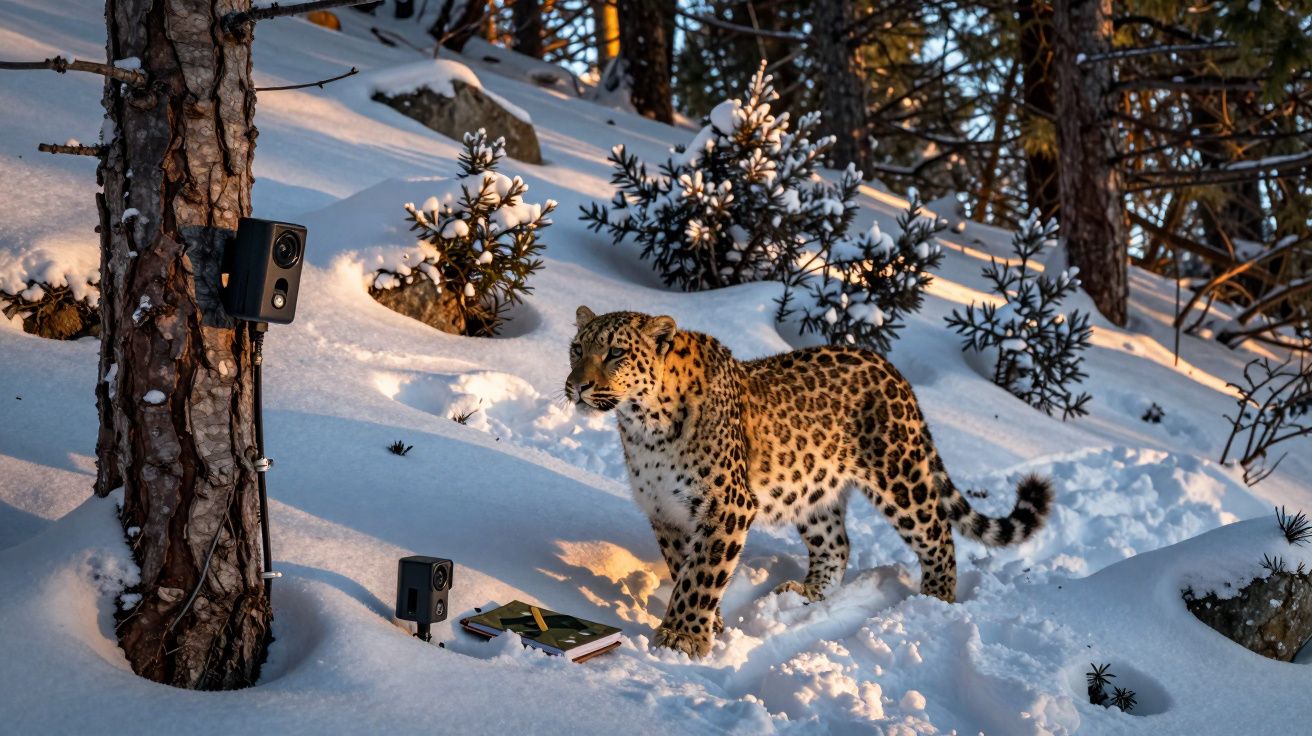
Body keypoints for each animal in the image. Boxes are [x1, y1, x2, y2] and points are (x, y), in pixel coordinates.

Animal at [565, 306, 1054, 658]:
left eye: (616, 353)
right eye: (575, 349)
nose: (576, 386)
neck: (643, 426)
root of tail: (888, 366)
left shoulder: (727, 506)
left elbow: (701, 574)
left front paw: (681, 639)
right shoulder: (666, 511)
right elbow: (685, 568)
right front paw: (709, 626)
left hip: (899, 474)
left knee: (938, 532)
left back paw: (935, 601)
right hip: (813, 489)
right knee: (837, 545)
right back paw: (807, 593)